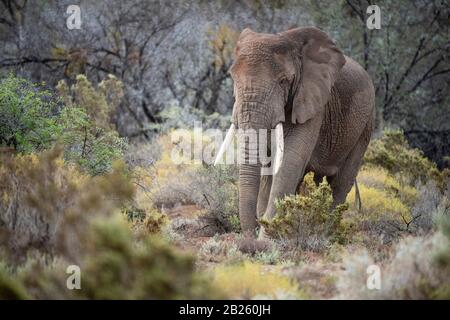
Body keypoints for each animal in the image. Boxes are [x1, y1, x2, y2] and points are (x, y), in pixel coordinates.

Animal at [214, 26, 372, 238]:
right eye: (232, 77)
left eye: (283, 81)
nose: (252, 232)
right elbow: (270, 170)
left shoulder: (313, 105)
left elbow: (289, 162)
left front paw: (266, 237)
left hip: (365, 126)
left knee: (340, 183)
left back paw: (325, 232)